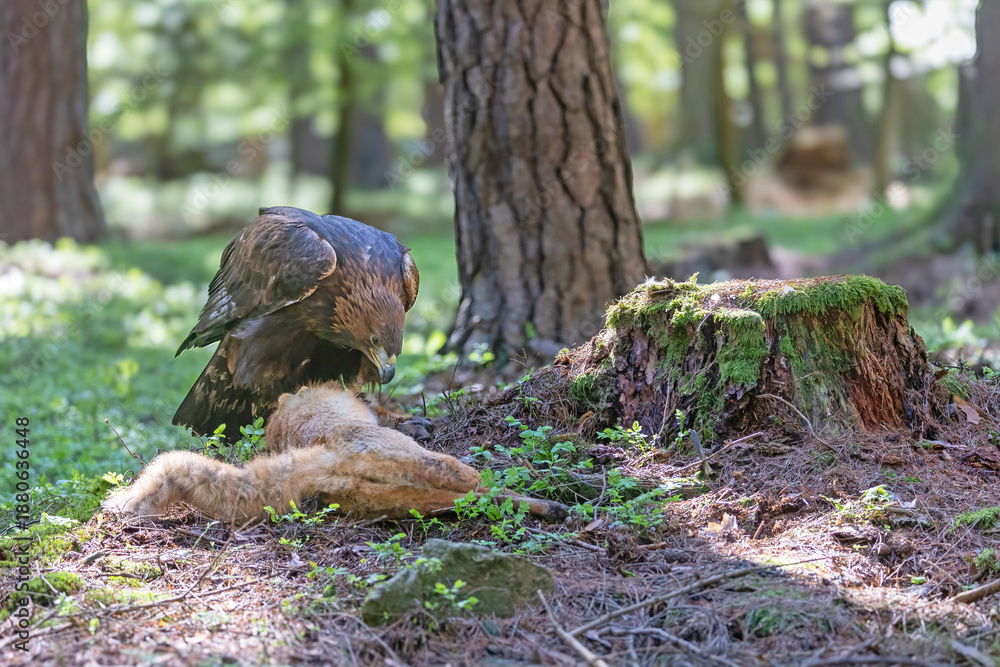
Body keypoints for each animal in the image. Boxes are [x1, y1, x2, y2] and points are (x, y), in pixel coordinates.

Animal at [104, 383, 569, 522]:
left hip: (404, 502)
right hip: (437, 472)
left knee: (482, 500)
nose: (429, 426)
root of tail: (325, 461)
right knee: (482, 486)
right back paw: (542, 490)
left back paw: (548, 506)